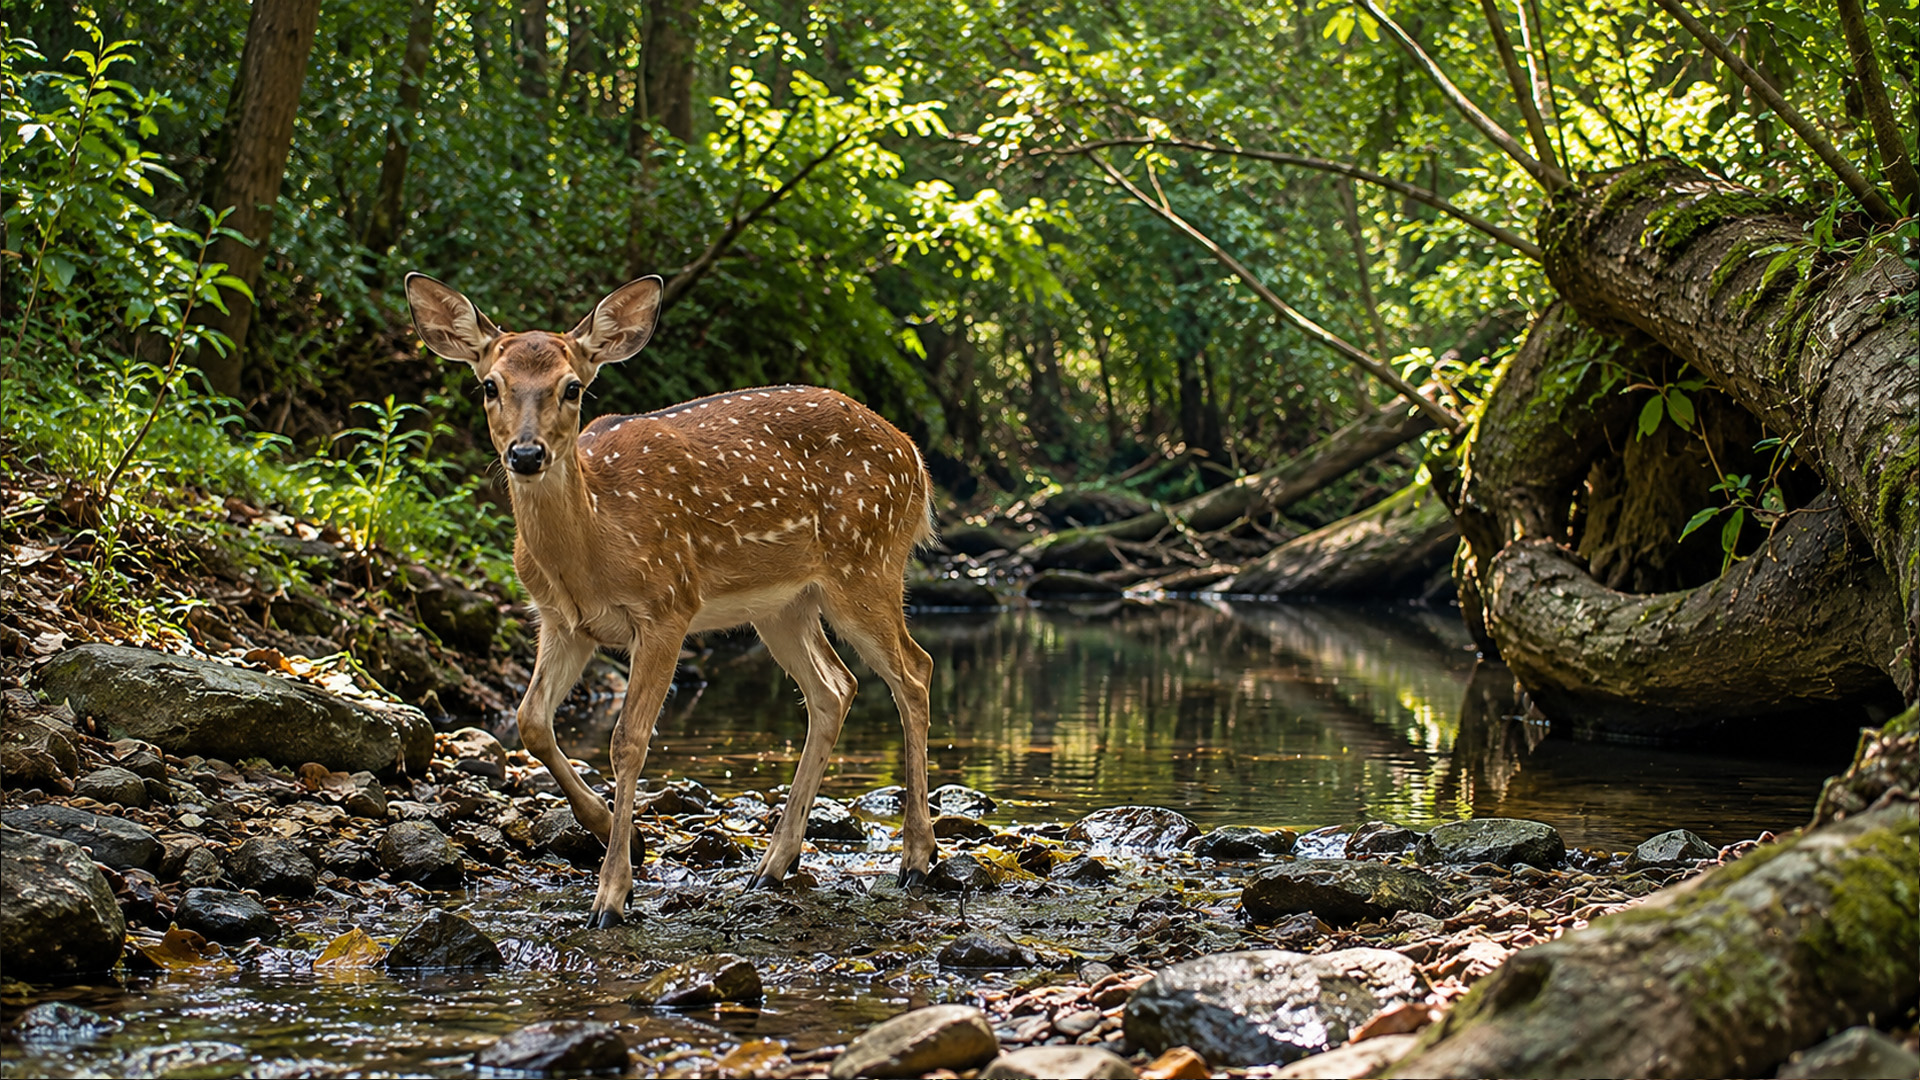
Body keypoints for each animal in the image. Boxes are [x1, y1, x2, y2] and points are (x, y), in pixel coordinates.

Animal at [404, 272, 937, 928]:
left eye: (572, 387)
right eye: (489, 385)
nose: (526, 454)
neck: (596, 540)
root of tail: (917, 460)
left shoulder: (667, 607)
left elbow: (628, 742)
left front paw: (612, 894)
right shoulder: (562, 623)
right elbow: (530, 722)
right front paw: (620, 835)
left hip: (866, 565)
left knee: (913, 671)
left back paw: (916, 859)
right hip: (783, 605)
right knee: (834, 688)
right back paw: (772, 865)